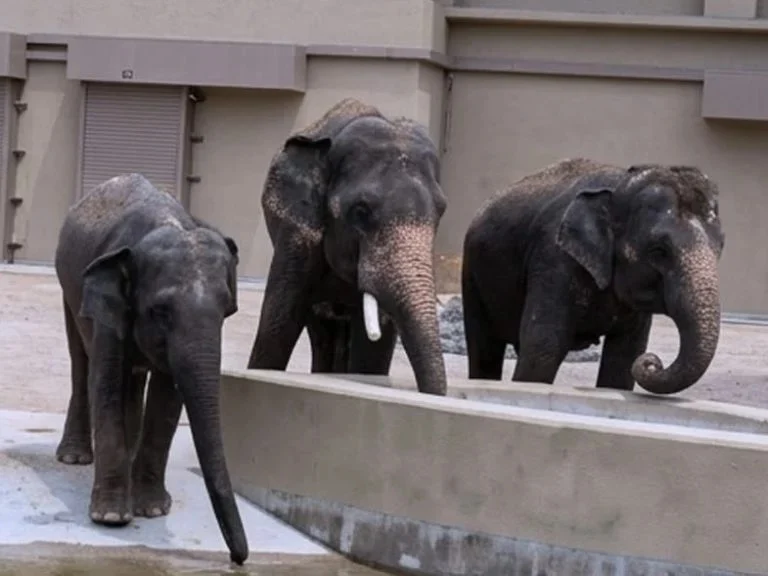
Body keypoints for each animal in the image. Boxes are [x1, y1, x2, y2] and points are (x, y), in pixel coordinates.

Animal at [54, 173, 248, 565]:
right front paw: (111, 517)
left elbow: (167, 396)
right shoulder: (108, 304)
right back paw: (73, 458)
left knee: (133, 380)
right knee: (81, 363)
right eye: (161, 310)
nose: (238, 559)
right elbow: (106, 382)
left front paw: (154, 511)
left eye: (228, 310)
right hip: (69, 288)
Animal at [461, 158, 725, 395]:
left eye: (720, 247)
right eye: (658, 251)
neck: (620, 184)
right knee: (485, 349)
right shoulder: (553, 260)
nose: (652, 362)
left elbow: (624, 356)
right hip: (472, 275)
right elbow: (543, 346)